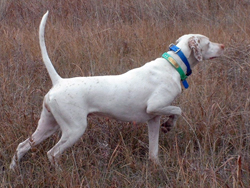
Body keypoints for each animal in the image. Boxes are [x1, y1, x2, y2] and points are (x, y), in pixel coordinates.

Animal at [9, 11, 225, 170]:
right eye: (208, 42)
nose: (223, 45)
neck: (173, 65)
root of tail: (58, 82)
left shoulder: (153, 118)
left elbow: (153, 151)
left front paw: (157, 166)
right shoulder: (155, 107)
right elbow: (178, 110)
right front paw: (169, 125)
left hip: (48, 125)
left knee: (22, 147)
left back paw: (13, 171)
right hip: (74, 129)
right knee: (52, 154)